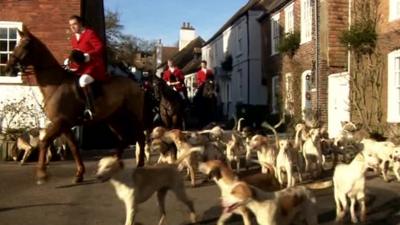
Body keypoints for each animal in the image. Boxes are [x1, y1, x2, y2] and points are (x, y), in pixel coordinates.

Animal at [5, 28, 147, 185]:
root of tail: (136, 84)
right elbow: (73, 148)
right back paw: (111, 166)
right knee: (123, 139)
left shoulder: (60, 122)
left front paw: (42, 174)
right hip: (113, 119)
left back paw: (140, 166)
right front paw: (79, 174)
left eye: (26, 45)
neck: (56, 84)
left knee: (140, 137)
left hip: (133, 117)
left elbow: (45, 141)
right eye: (16, 44)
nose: (8, 68)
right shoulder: (65, 125)